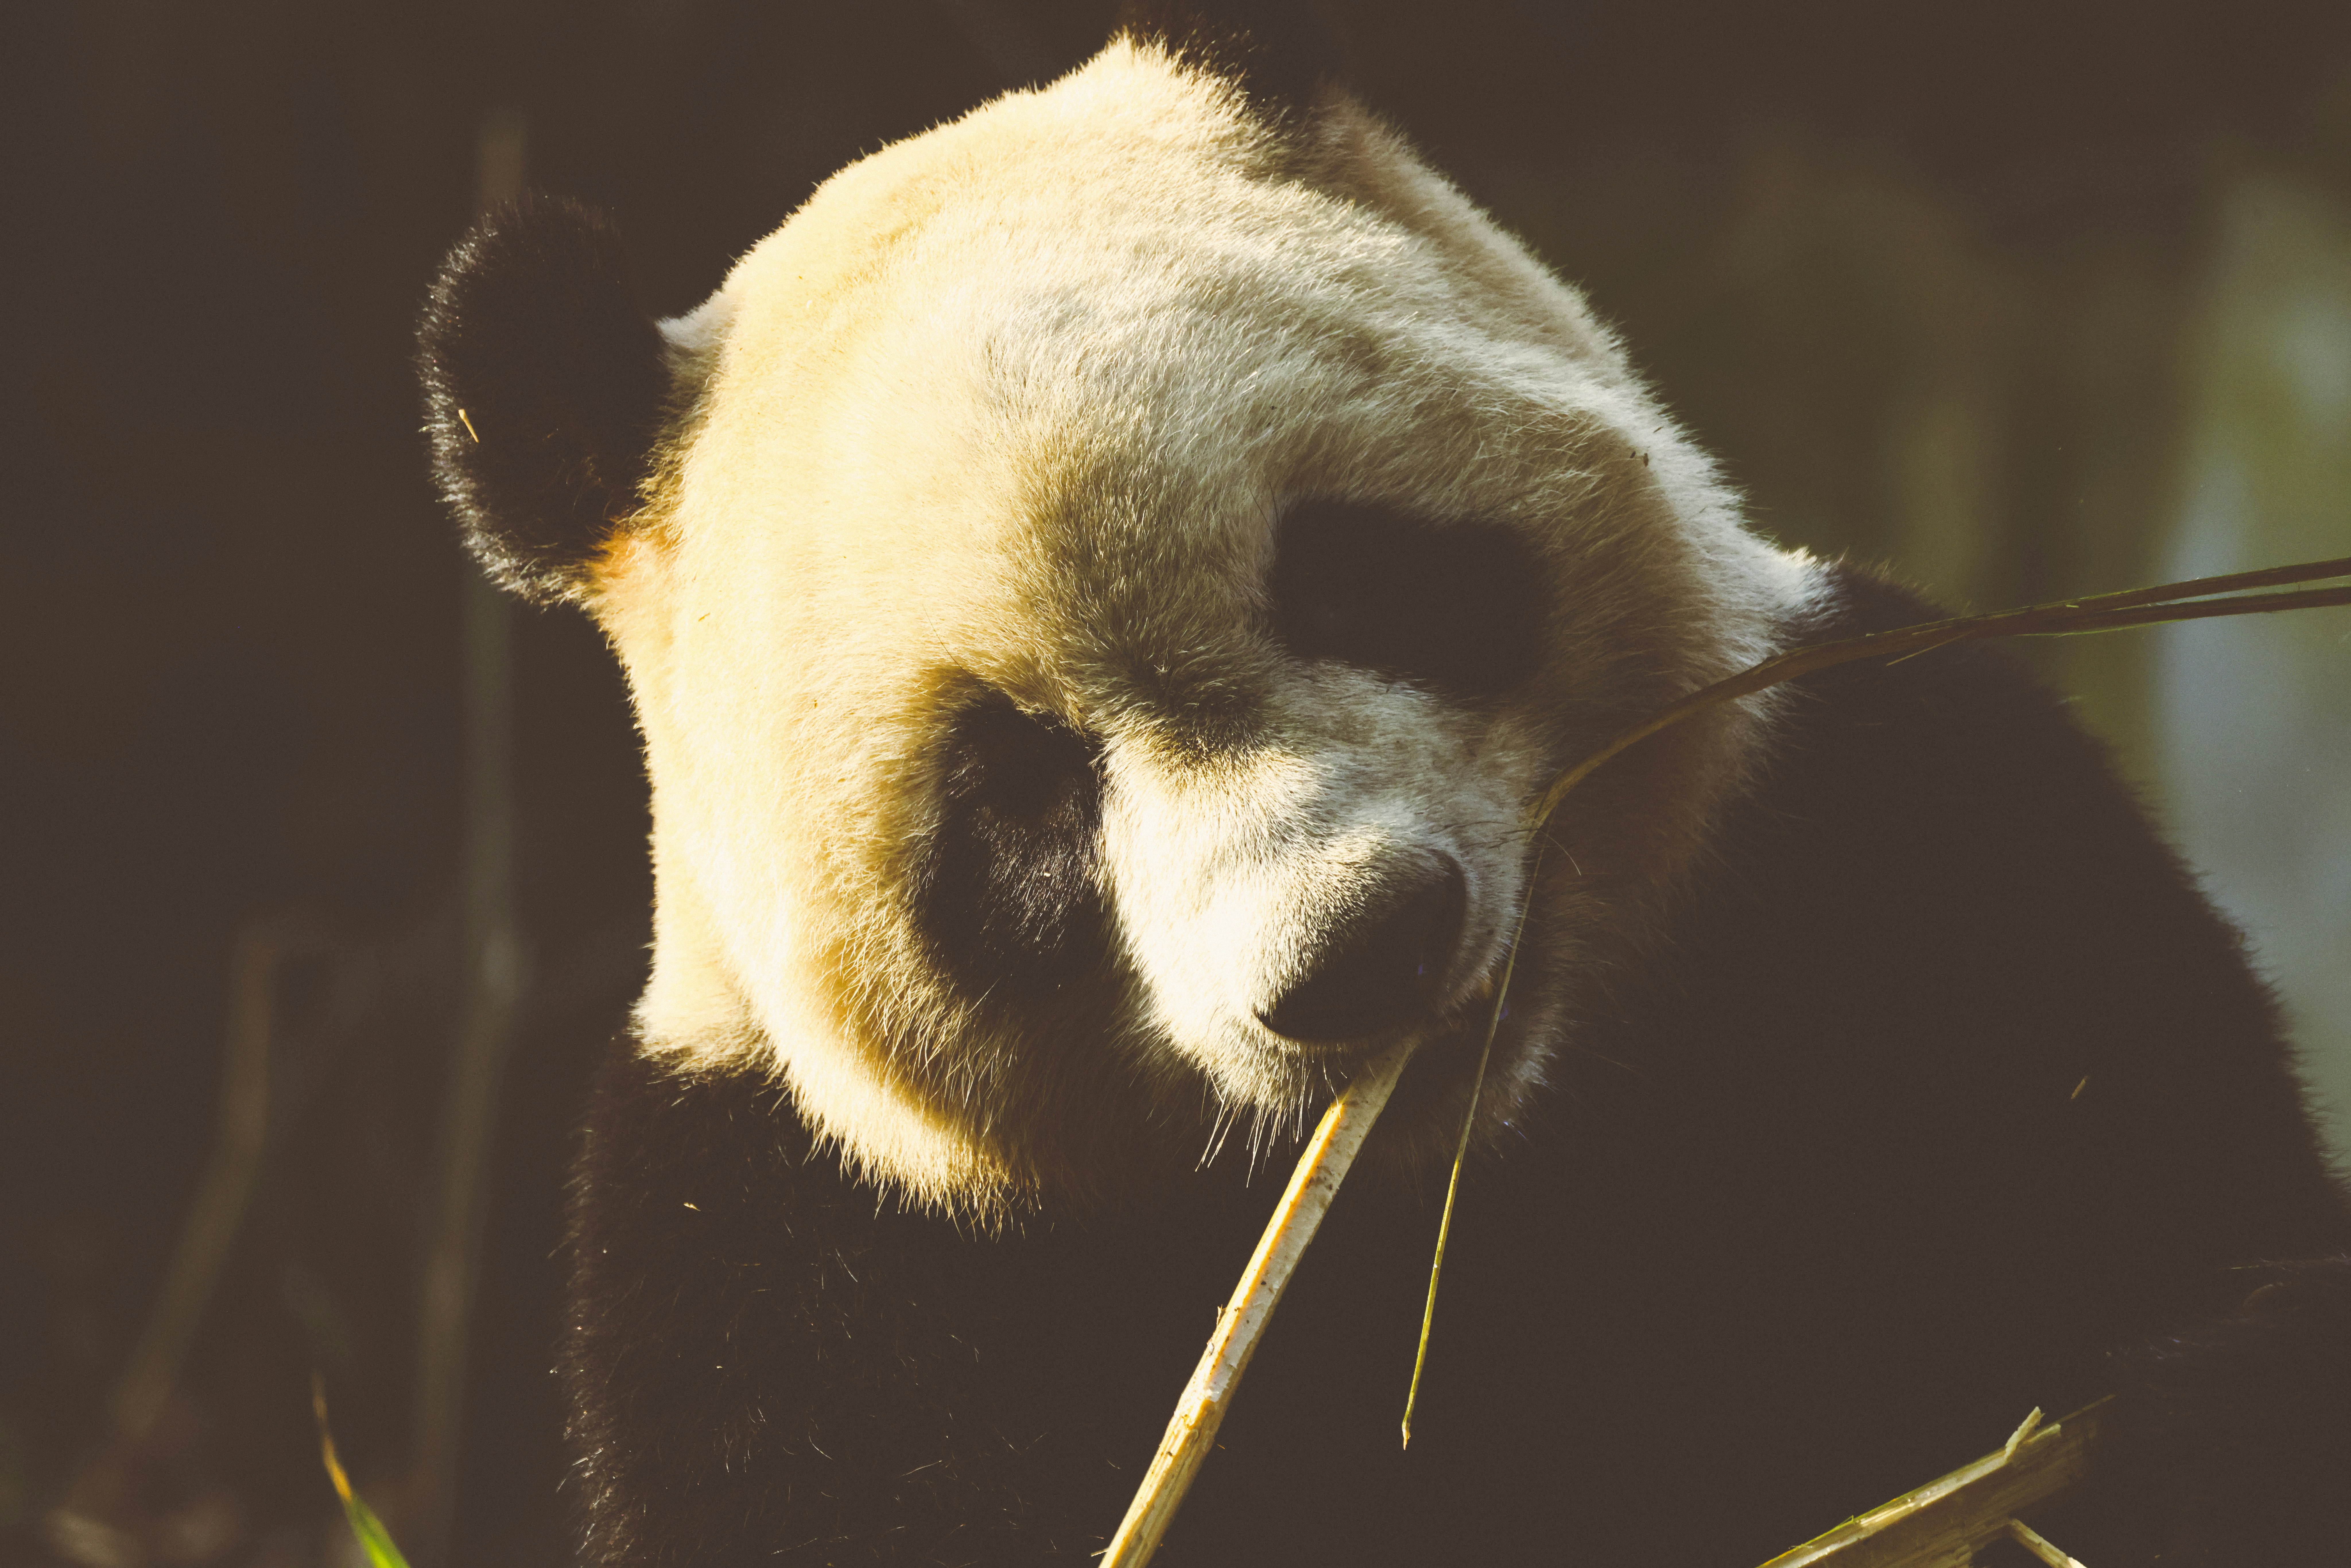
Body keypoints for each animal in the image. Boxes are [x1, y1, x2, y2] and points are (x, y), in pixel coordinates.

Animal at [416, 7, 2351, 1565]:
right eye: (1019, 800)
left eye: (1346, 573)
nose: (1357, 951)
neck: (1461, 1183)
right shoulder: (801, 1257)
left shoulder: (1912, 854)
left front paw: (2209, 1416)